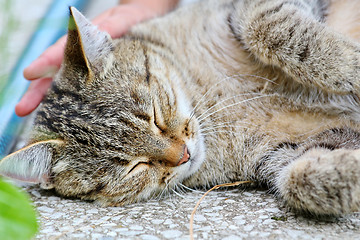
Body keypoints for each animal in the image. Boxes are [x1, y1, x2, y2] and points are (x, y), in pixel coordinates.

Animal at [0, 0, 360, 217]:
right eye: (134, 167)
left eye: (156, 116)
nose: (184, 154)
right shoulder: (279, 156)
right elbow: (303, 183)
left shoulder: (244, 9)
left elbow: (268, 29)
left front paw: (350, 65)